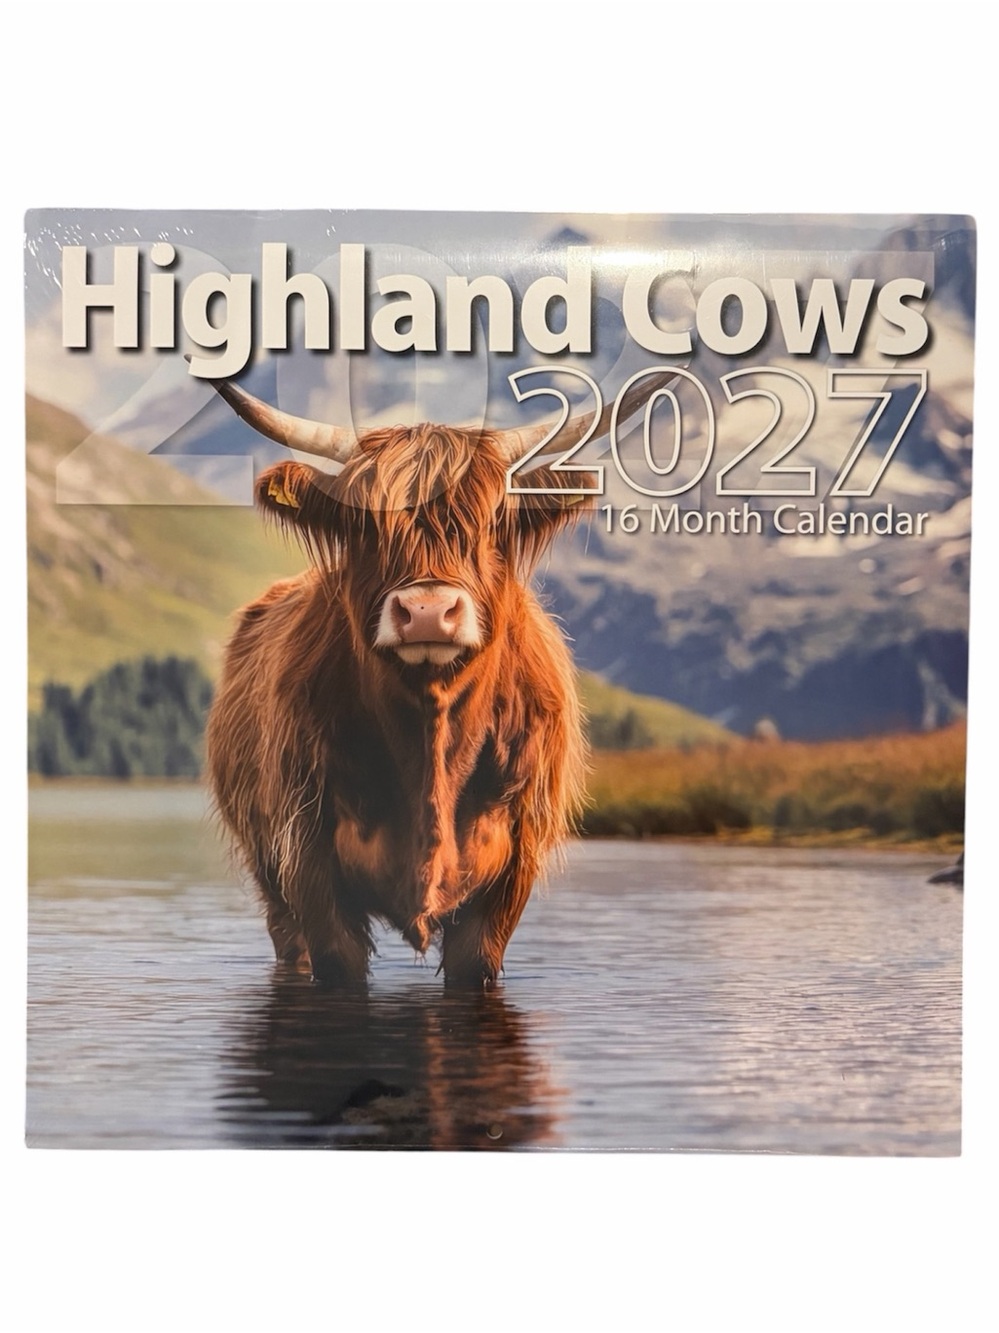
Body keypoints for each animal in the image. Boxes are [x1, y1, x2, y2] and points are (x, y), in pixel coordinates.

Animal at [205, 369, 671, 986]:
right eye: (364, 523)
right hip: (270, 876)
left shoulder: (509, 872)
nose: (427, 611)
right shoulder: (306, 857)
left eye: (492, 520)